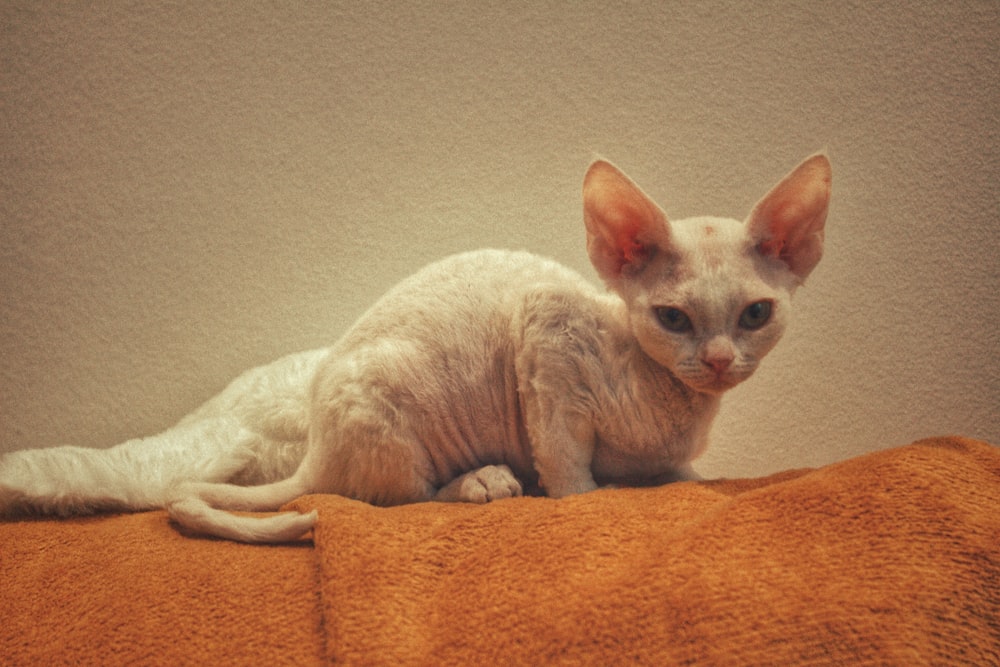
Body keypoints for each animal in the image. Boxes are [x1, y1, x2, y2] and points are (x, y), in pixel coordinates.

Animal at [0, 155, 828, 544]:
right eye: (673, 318)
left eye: (755, 315)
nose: (717, 360)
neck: (677, 403)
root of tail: (317, 444)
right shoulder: (544, 340)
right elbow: (568, 465)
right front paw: (583, 497)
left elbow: (684, 477)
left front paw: (691, 480)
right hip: (393, 420)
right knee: (395, 499)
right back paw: (483, 482)